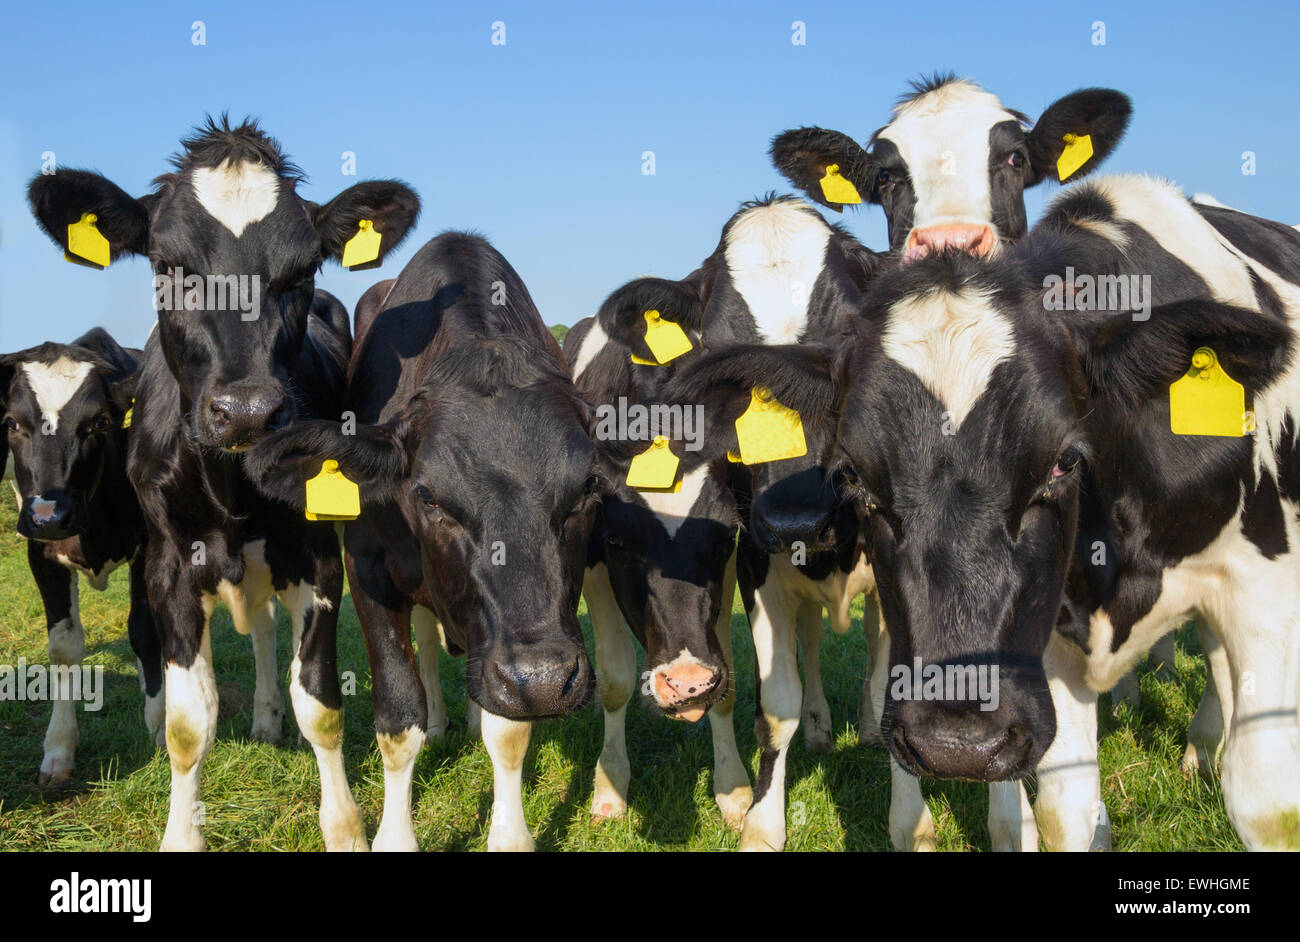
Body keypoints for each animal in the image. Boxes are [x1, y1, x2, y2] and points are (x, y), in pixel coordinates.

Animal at [1, 328, 160, 786]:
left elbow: (144, 630)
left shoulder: (150, 545)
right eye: (12, 423)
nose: (51, 514)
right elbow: (64, 647)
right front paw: (58, 750)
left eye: (100, 423)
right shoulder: (40, 551)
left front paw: (160, 725)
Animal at [27, 116, 419, 851]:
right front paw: (182, 832)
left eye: (300, 272)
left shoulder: (319, 559)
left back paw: (267, 718)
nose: (247, 412)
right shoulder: (168, 564)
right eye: (168, 267)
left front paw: (345, 827)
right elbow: (188, 724)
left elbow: (319, 703)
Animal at [244, 232, 600, 852]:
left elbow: (509, 731)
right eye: (428, 495)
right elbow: (397, 714)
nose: (545, 680)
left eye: (588, 488)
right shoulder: (367, 569)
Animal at [742, 173, 1300, 851]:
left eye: (1064, 461)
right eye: (854, 475)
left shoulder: (1264, 590)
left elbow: (1266, 803)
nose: (956, 745)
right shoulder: (1049, 637)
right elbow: (1065, 810)